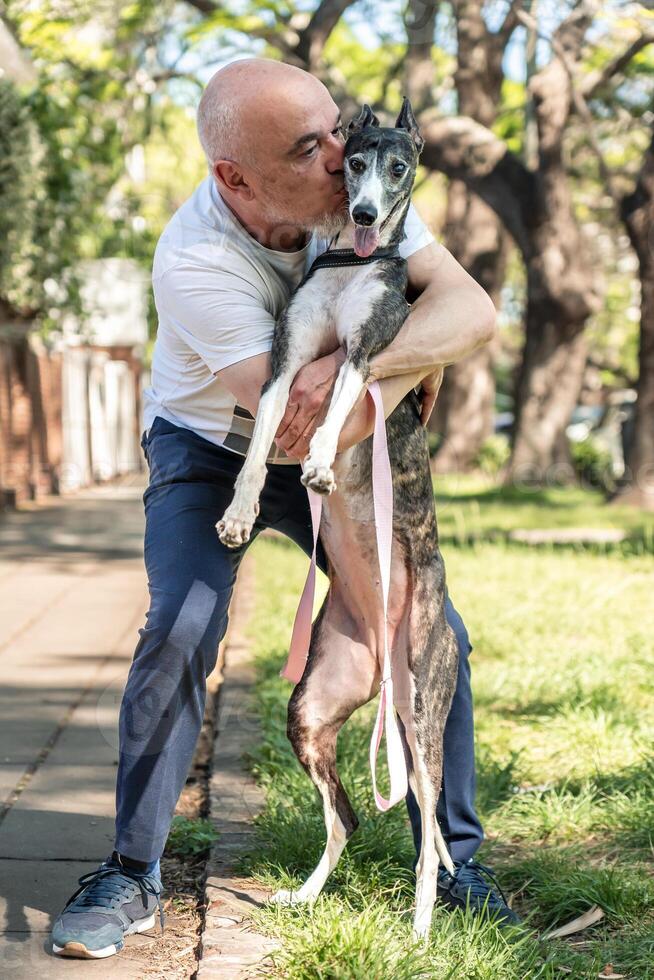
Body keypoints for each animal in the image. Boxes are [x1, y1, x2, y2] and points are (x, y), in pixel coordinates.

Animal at [218, 101, 458, 940]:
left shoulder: (365, 354)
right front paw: (237, 513)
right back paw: (305, 897)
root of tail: (385, 664)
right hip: (311, 710)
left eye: (400, 168)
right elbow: (258, 445)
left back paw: (420, 934)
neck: (352, 264)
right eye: (352, 162)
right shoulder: (285, 364)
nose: (363, 215)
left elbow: (336, 408)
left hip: (422, 711)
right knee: (348, 819)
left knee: (428, 835)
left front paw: (321, 464)